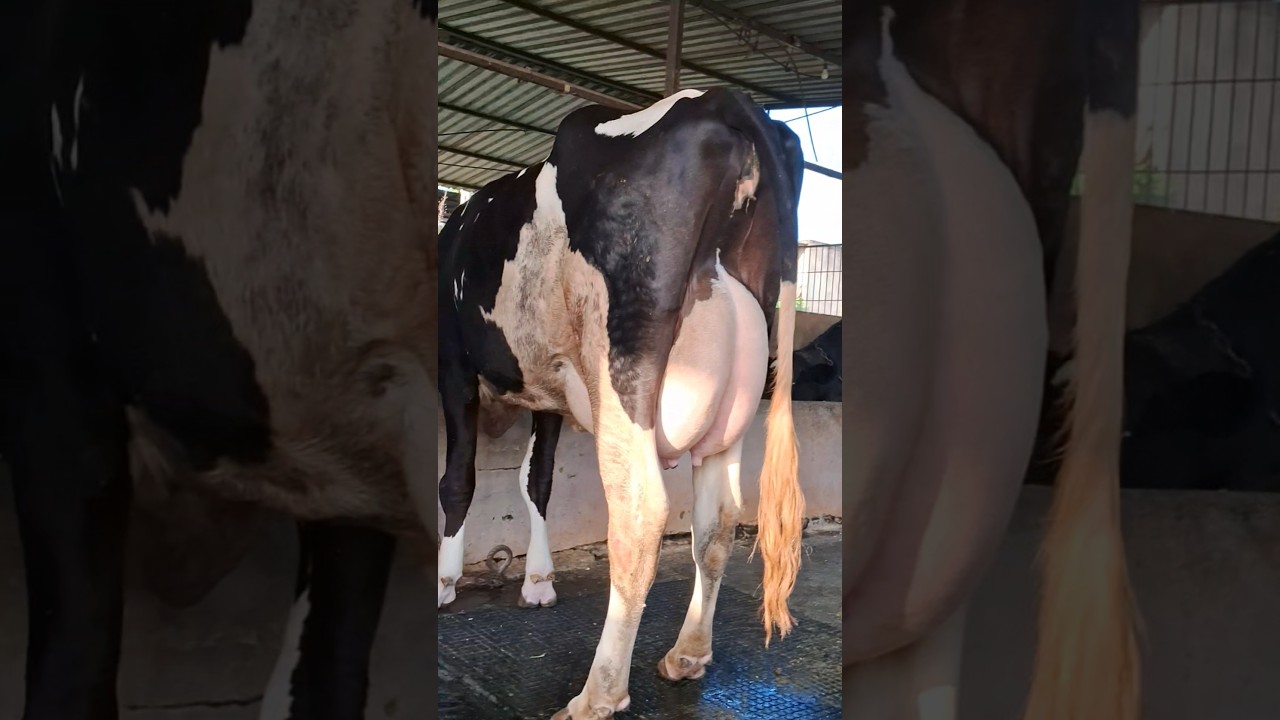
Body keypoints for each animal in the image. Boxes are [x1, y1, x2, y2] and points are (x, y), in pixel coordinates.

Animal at [437, 86, 806, 719]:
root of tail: (719, 99)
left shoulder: (453, 367)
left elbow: (458, 478)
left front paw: (444, 580)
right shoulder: (549, 392)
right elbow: (536, 481)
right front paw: (538, 581)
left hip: (621, 373)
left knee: (639, 516)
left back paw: (597, 694)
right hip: (733, 408)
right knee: (718, 521)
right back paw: (687, 654)